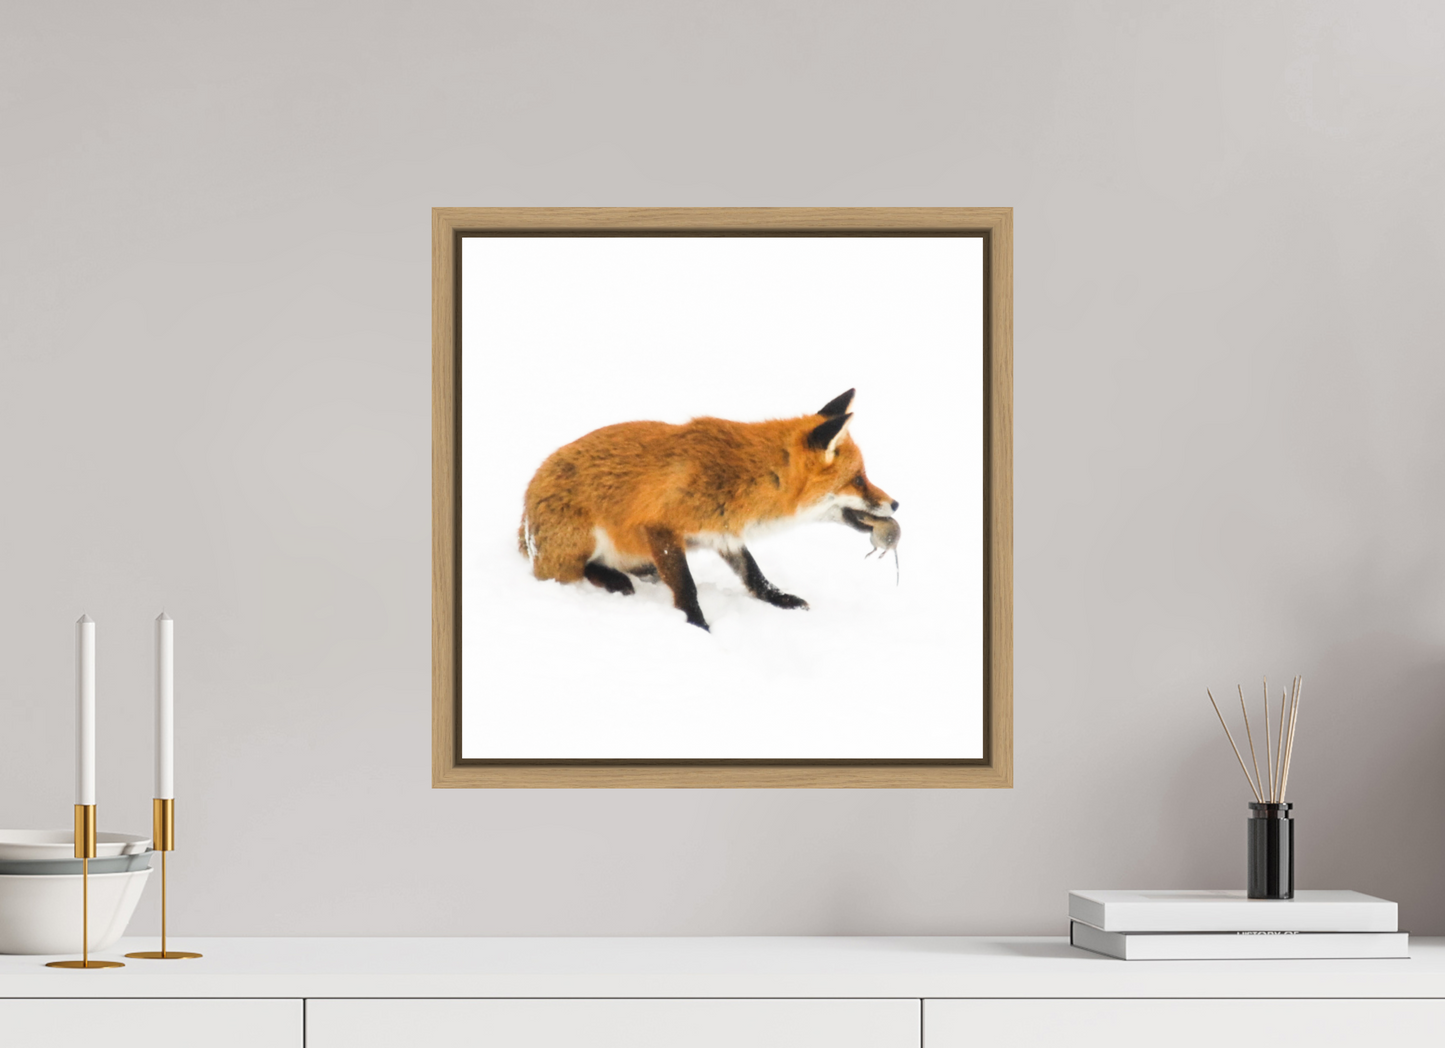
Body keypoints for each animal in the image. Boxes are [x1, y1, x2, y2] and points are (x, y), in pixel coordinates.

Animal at [518, 389, 898, 630]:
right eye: (859, 480)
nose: (896, 503)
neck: (745, 477)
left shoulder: (723, 532)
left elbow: (754, 574)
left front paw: (780, 599)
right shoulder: (660, 527)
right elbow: (687, 587)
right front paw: (698, 626)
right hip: (580, 542)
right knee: (570, 571)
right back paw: (612, 579)